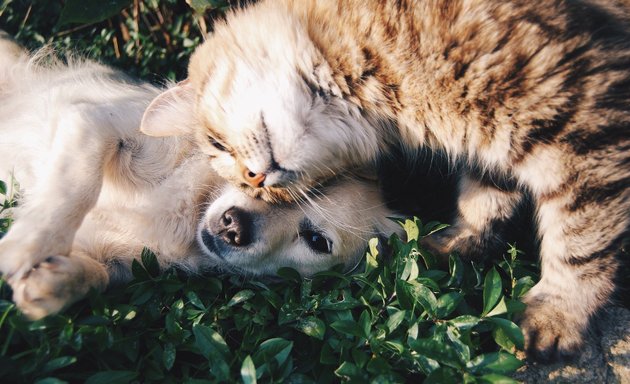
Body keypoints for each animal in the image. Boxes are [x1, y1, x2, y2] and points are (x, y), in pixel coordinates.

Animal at [143, 0, 630, 362]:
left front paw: (558, 314)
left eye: (216, 144)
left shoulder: (582, 126)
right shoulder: (496, 145)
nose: (256, 178)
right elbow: (484, 201)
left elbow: (580, 243)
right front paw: (456, 244)